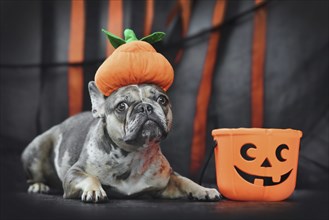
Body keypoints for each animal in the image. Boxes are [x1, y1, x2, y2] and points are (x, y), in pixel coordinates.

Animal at [21, 82, 220, 203]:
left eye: (162, 99)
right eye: (121, 106)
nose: (145, 107)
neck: (133, 156)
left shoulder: (164, 183)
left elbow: (184, 180)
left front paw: (203, 190)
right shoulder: (74, 174)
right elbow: (89, 177)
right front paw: (94, 190)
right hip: (37, 149)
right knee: (35, 174)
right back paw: (39, 185)